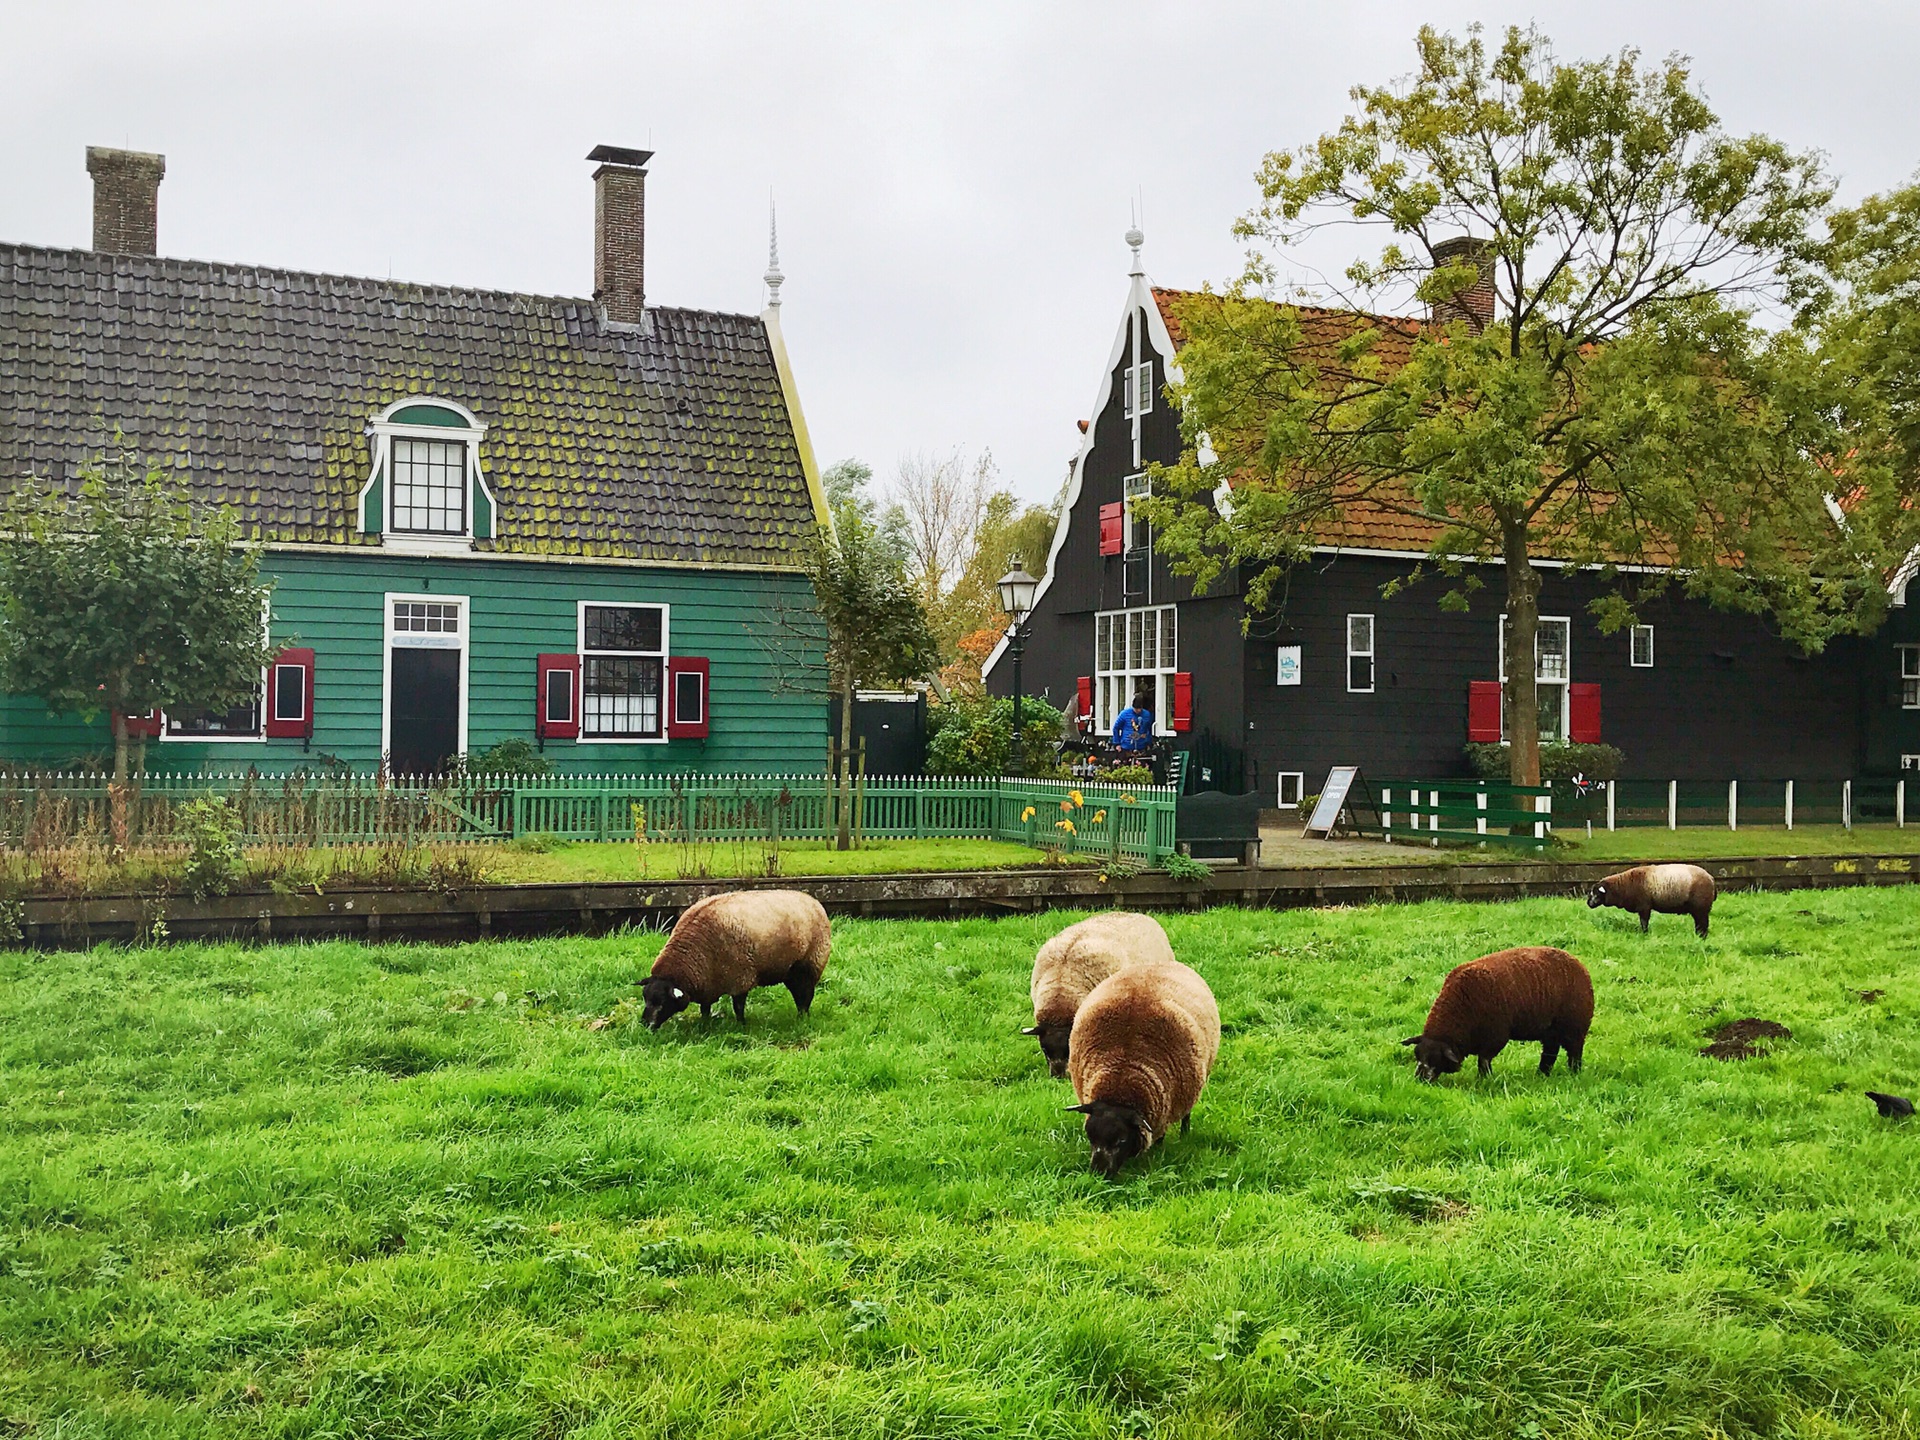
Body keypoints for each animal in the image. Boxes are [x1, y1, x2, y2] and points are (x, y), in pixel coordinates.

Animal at [641, 898, 829, 1029]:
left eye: (661, 1002)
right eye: (645, 998)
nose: (644, 1024)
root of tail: (814, 902)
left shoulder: (740, 979)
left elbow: (738, 1006)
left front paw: (741, 1025)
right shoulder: (708, 983)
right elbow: (705, 1008)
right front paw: (705, 1023)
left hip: (810, 965)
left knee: (805, 996)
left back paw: (802, 1019)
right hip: (789, 972)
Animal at [1067, 952, 1213, 1175]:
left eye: (1121, 1140)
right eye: (1090, 1136)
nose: (1099, 1173)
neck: (1121, 1073)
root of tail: (1161, 963)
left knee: (1187, 1113)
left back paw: (1184, 1134)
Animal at [1405, 948, 1597, 1082]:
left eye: (1434, 1058)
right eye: (1417, 1055)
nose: (1420, 1079)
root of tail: (1581, 966)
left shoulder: (1496, 1036)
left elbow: (1483, 1061)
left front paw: (1484, 1079)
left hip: (1575, 1027)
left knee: (1574, 1053)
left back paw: (1574, 1074)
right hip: (1551, 1031)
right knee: (1550, 1053)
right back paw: (1541, 1074)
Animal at [1582, 864, 1720, 940]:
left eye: (1596, 893)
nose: (1588, 903)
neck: (1623, 886)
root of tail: (1711, 878)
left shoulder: (1644, 907)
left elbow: (1644, 922)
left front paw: (1644, 934)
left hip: (1701, 908)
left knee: (1703, 925)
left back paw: (1702, 938)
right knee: (1700, 924)